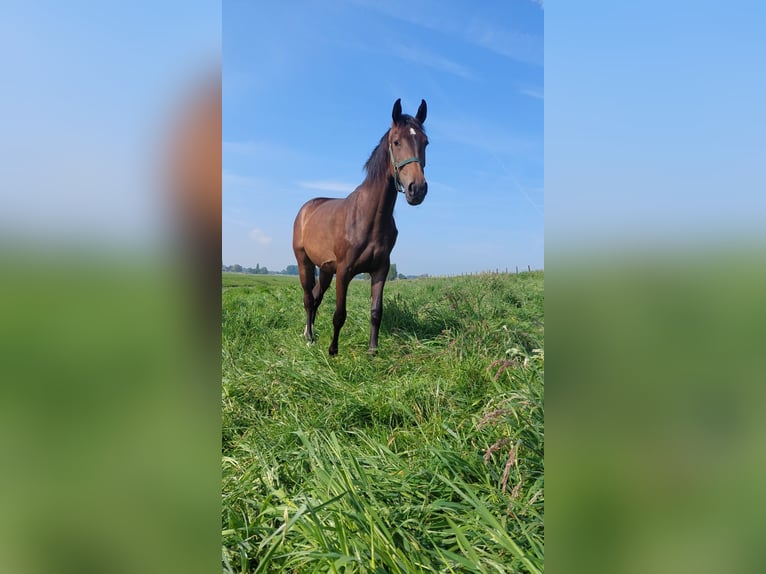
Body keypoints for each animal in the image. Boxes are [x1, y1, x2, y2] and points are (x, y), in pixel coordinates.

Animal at [292, 100, 428, 358]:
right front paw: (333, 350)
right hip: (304, 262)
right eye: (396, 141)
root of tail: (306, 209)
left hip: (326, 270)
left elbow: (376, 312)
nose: (417, 189)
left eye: (425, 142)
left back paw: (309, 333)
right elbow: (339, 314)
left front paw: (372, 351)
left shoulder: (380, 270)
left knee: (315, 297)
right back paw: (309, 337)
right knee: (307, 298)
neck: (370, 217)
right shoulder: (344, 270)